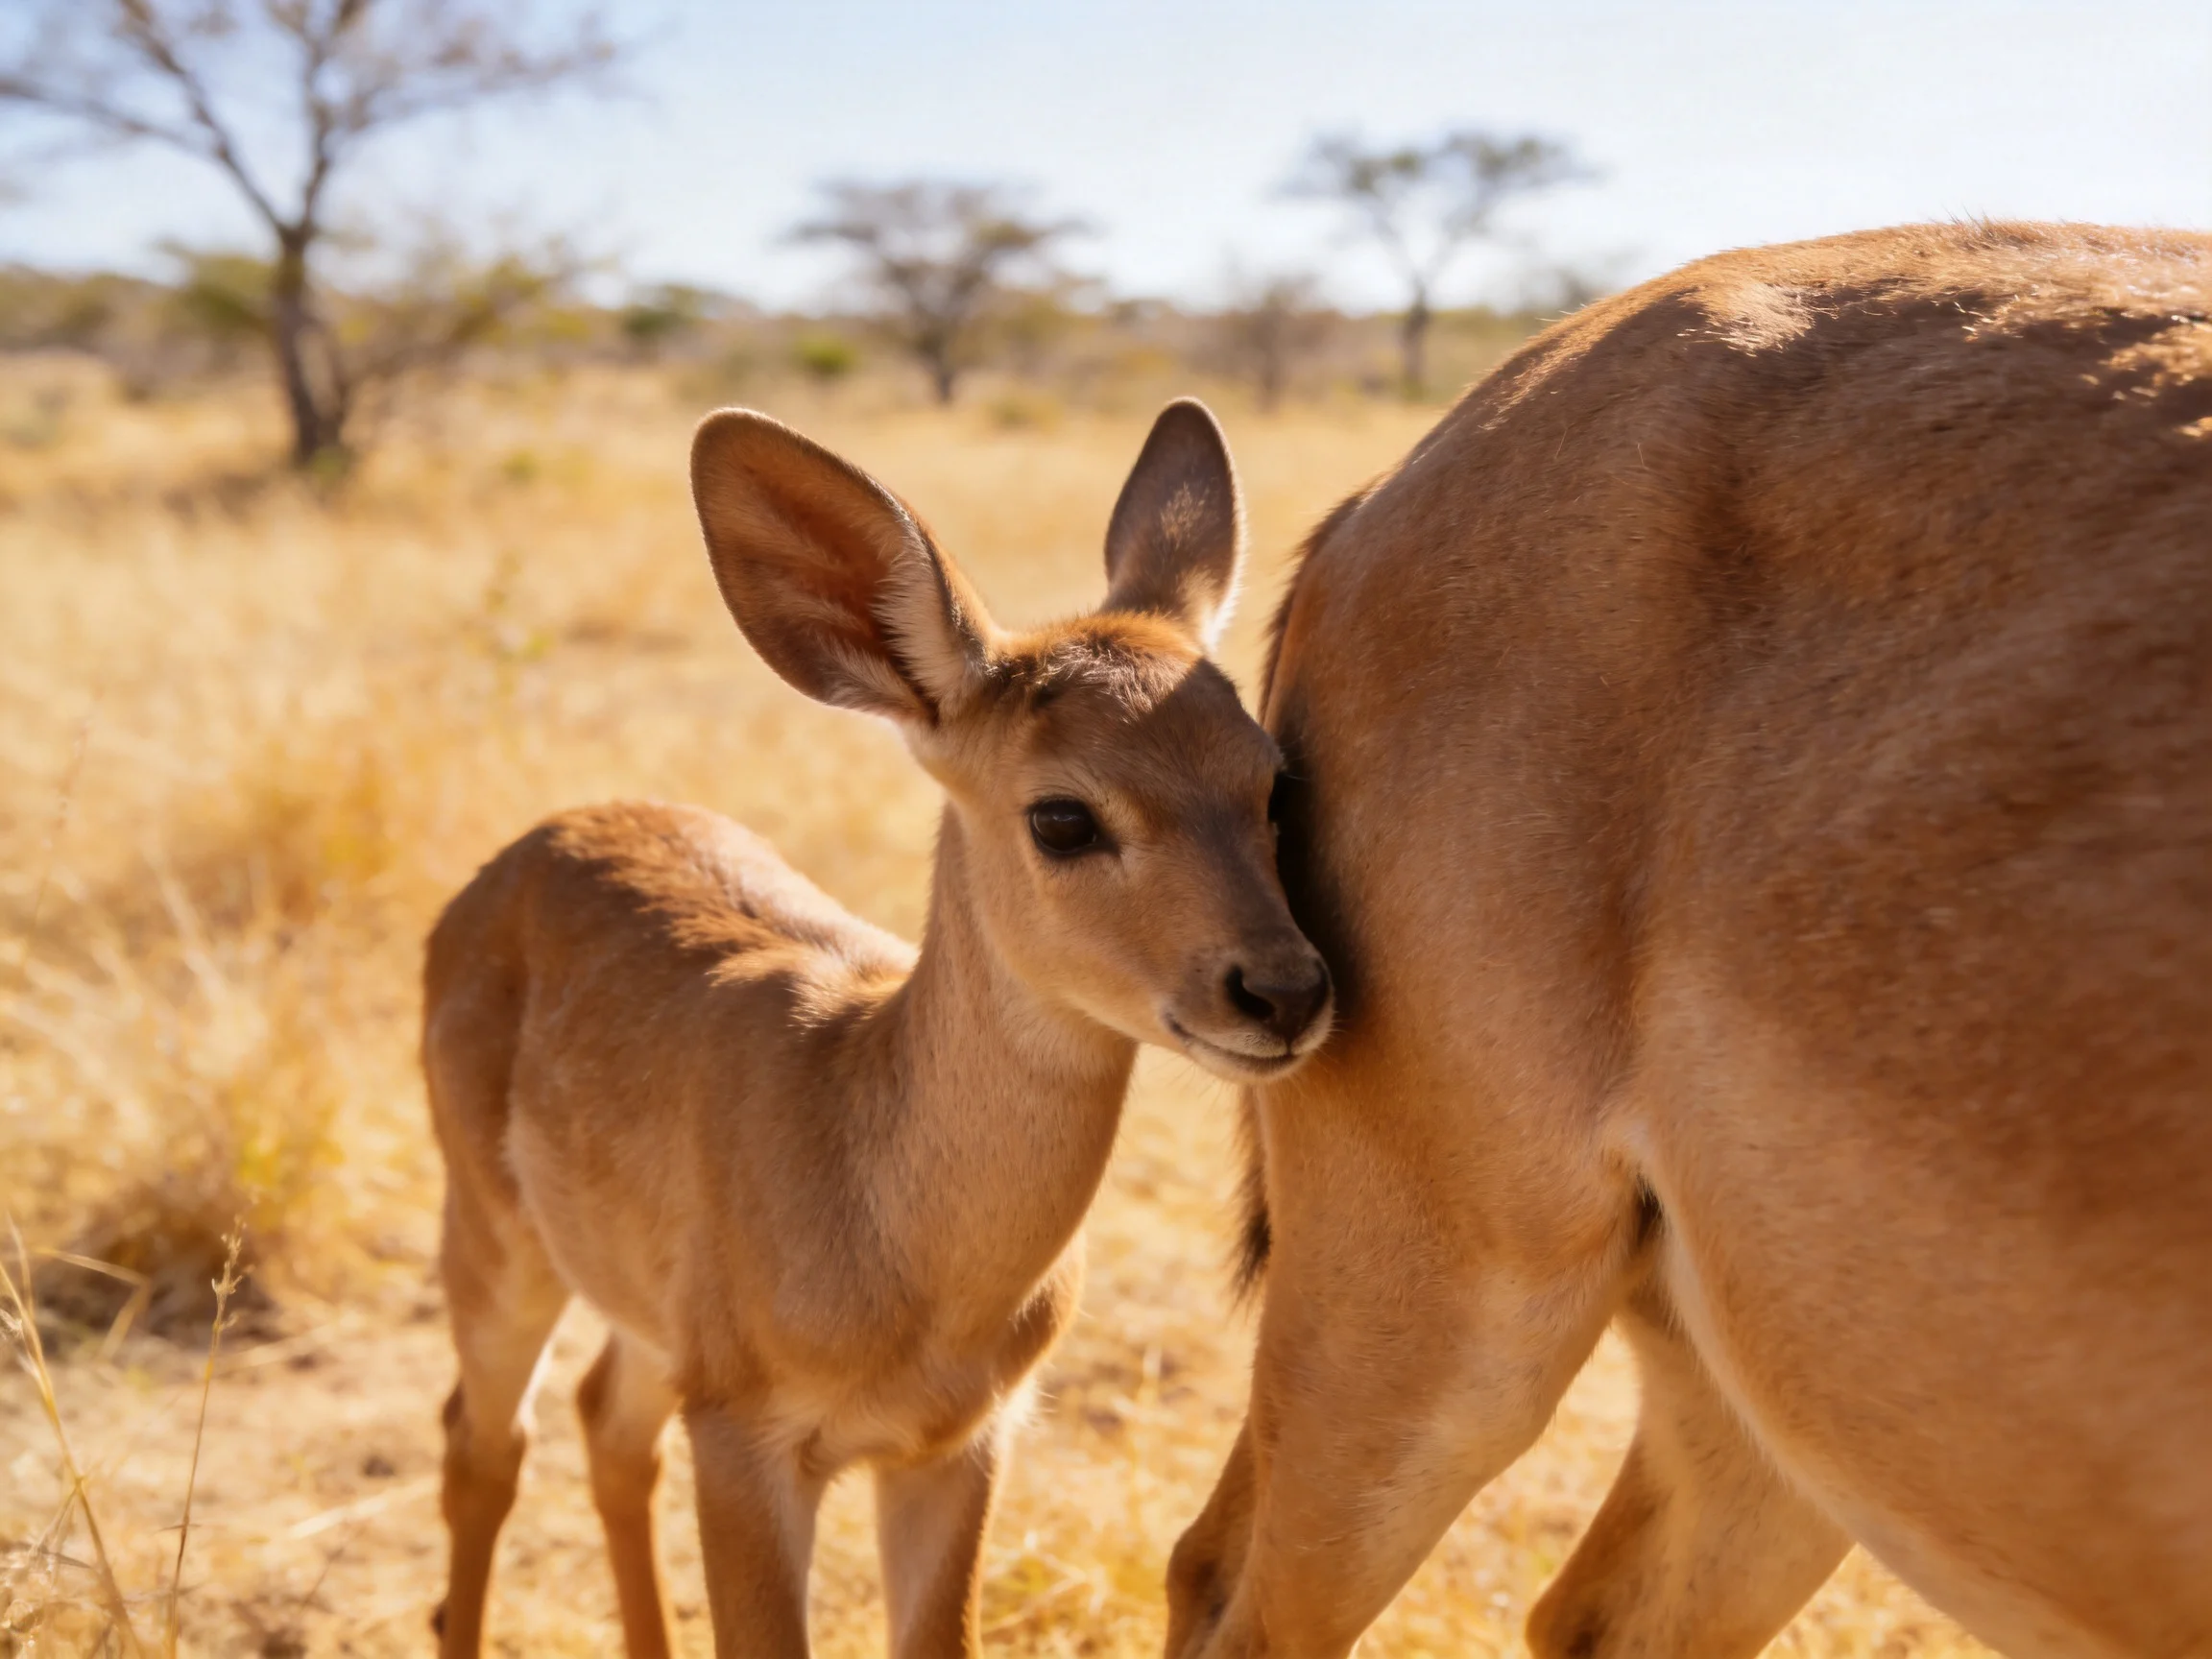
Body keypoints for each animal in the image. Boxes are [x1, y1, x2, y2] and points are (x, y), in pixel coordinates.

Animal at [421, 400, 1331, 1658]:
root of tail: (513, 860)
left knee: (605, 1425)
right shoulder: (748, 1443)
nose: (1283, 992)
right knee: (483, 1443)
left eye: (1272, 778)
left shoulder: (957, 1448)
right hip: (496, 1245)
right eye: (1062, 815)